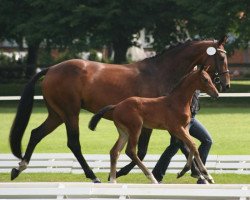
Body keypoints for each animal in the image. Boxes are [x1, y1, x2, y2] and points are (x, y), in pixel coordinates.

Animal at [89, 66, 219, 184]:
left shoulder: (184, 129)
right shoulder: (176, 128)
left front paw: (183, 172)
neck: (178, 102)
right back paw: (152, 178)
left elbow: (191, 146)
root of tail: (117, 106)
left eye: (210, 78)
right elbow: (193, 145)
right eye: (205, 79)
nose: (216, 94)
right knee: (130, 151)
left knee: (115, 151)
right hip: (135, 128)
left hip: (124, 132)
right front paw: (207, 175)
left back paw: (113, 180)